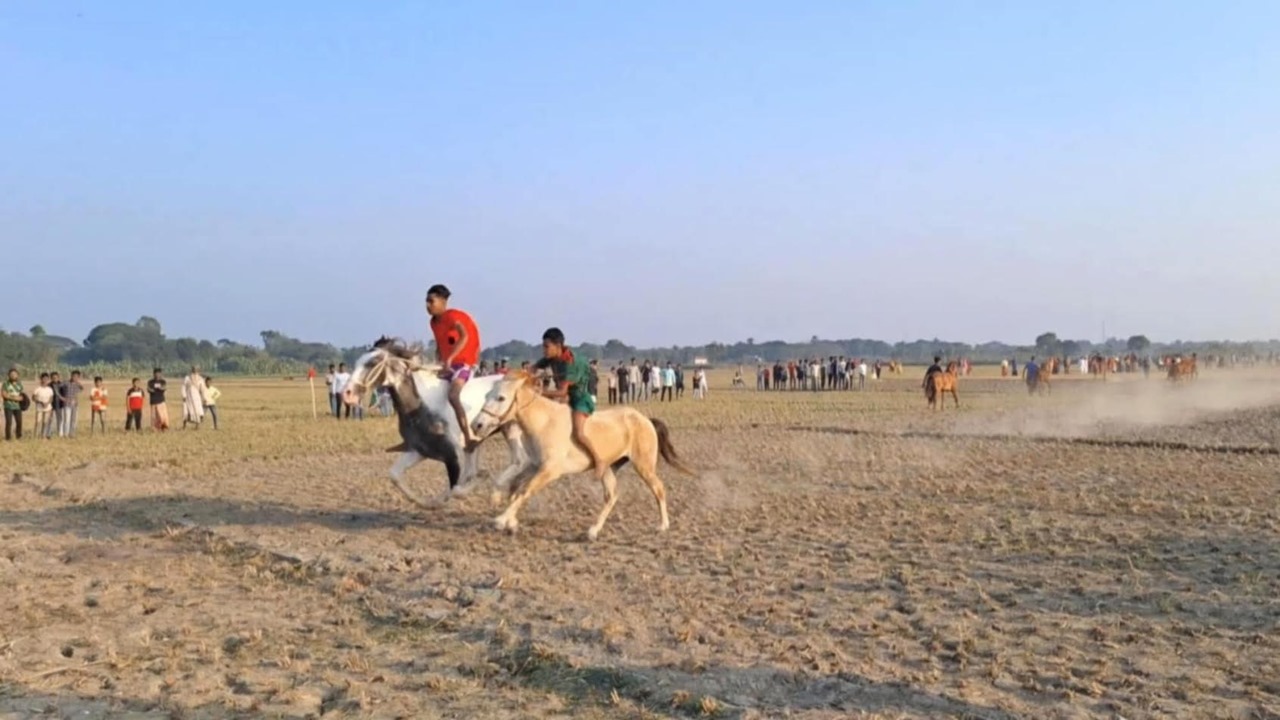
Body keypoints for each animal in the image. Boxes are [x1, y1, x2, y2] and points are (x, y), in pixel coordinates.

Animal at [471, 368, 696, 538]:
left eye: (501, 398)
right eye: (487, 396)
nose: (476, 425)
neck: (543, 422)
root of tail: (646, 419)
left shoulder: (549, 471)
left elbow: (525, 490)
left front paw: (501, 520)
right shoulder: (536, 465)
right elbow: (515, 487)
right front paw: (506, 514)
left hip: (644, 466)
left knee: (658, 489)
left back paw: (663, 525)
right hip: (608, 468)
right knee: (611, 496)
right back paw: (593, 531)